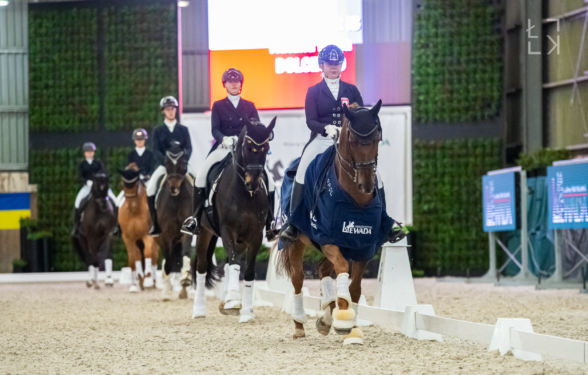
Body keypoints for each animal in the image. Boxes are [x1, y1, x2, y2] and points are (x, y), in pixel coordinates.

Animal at [118, 165, 160, 294]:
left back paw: (153, 282)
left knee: (153, 256)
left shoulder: (147, 236)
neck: (135, 212)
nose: (131, 205)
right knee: (133, 258)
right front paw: (136, 283)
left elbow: (147, 254)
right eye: (123, 184)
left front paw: (148, 281)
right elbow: (134, 257)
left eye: (136, 184)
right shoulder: (128, 238)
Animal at [191, 118, 278, 324]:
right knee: (201, 267)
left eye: (266, 148)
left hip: (241, 240)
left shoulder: (255, 236)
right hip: (204, 231)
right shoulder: (228, 230)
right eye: (247, 147)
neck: (244, 194)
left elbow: (248, 271)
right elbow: (232, 262)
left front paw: (246, 311)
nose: (253, 183)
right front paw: (232, 300)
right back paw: (199, 310)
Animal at [278, 100, 398, 346]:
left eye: (377, 139)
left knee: (323, 269)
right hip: (297, 242)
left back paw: (326, 317)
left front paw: (351, 327)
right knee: (298, 279)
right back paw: (300, 325)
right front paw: (343, 317)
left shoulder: (364, 247)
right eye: (352, 140)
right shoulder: (327, 238)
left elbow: (355, 288)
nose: (366, 185)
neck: (356, 200)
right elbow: (343, 268)